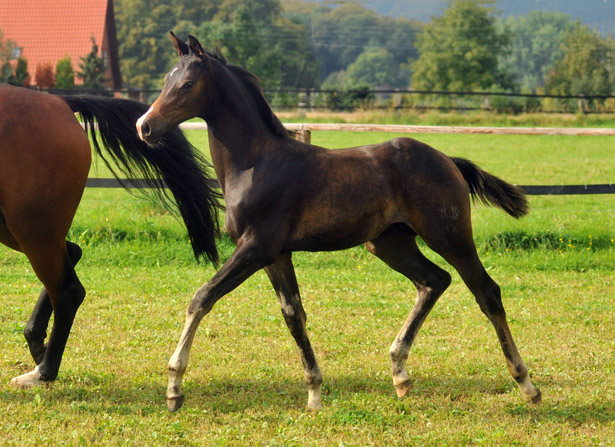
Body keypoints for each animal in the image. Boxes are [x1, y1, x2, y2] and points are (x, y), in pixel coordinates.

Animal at [0, 84, 221, 388]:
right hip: (19, 228)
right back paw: (37, 345)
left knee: (68, 290)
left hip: (31, 227)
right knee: (72, 254)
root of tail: (60, 102)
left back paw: (43, 370)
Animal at [137, 33, 540, 412]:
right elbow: (293, 315)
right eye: (166, 79)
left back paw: (526, 384)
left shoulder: (255, 248)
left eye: (188, 84)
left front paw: (174, 388)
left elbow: (202, 298)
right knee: (433, 281)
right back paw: (400, 373)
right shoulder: (276, 255)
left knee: (486, 292)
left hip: (450, 236)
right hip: (389, 242)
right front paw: (314, 393)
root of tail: (447, 160)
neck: (257, 163)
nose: (145, 126)